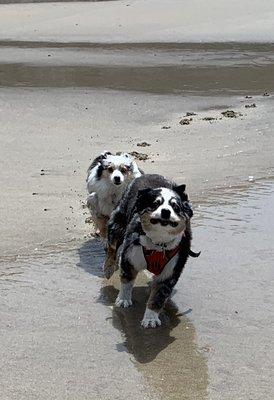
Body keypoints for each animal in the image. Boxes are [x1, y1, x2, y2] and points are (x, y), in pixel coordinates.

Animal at [105, 174, 199, 328]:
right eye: (155, 204)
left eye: (175, 206)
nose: (165, 211)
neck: (159, 244)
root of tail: (145, 175)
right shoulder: (130, 256)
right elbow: (127, 280)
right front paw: (123, 299)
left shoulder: (171, 270)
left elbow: (158, 295)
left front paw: (150, 318)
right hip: (116, 225)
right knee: (111, 247)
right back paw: (108, 267)